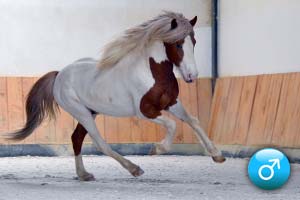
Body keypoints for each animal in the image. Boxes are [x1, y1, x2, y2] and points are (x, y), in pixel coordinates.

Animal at [5, 10, 225, 181]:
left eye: (194, 41)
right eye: (178, 44)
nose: (192, 76)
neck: (152, 72)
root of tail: (59, 74)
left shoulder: (172, 103)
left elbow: (192, 120)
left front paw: (217, 155)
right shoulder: (145, 111)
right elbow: (172, 124)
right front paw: (157, 149)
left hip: (90, 112)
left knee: (76, 138)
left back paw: (84, 175)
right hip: (81, 112)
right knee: (99, 143)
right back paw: (134, 169)